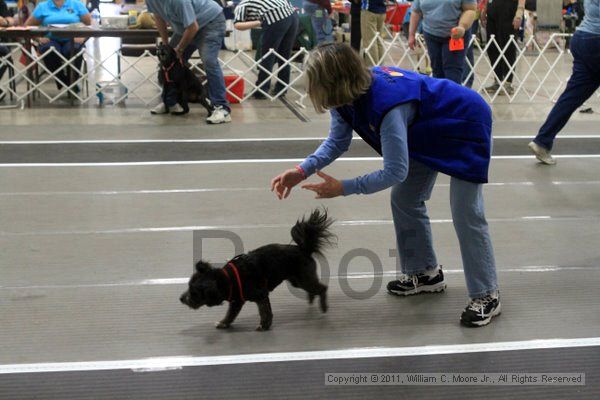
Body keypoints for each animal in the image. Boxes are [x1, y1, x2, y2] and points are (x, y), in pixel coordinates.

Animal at [180, 209, 336, 332]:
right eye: (188, 287)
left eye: (194, 293)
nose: (181, 298)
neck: (228, 278)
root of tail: (305, 249)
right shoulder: (237, 302)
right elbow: (230, 315)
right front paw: (224, 323)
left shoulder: (260, 295)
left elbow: (265, 312)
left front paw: (264, 326)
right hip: (297, 281)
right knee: (314, 289)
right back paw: (312, 298)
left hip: (303, 279)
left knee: (322, 288)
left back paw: (323, 306)